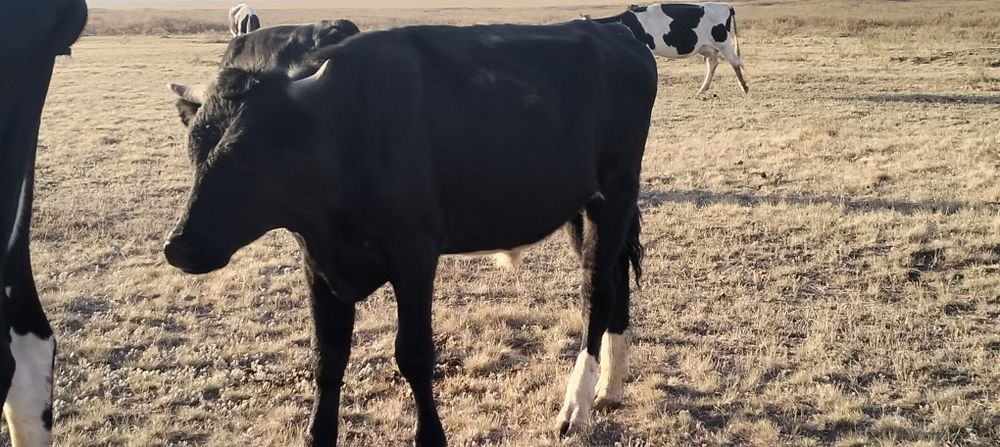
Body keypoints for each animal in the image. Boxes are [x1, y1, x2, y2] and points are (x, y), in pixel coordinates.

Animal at [591, 3, 747, 95]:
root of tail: (725, 6)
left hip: (723, 42)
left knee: (734, 61)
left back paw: (744, 87)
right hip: (706, 46)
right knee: (713, 62)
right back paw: (702, 90)